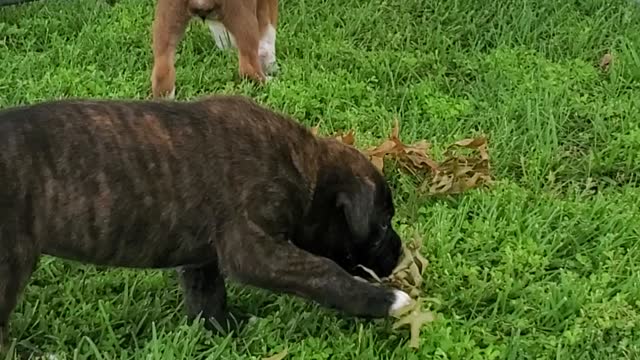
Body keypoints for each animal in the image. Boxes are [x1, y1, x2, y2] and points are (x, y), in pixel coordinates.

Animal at [0, 95, 410, 348]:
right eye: (381, 227)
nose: (400, 253)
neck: (303, 165)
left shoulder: (202, 258)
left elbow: (207, 298)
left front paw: (224, 334)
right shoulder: (254, 250)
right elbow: (325, 273)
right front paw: (387, 300)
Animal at [152, 0, 280, 97]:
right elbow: (269, 30)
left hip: (167, 22)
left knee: (162, 75)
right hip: (243, 17)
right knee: (248, 68)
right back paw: (270, 82)